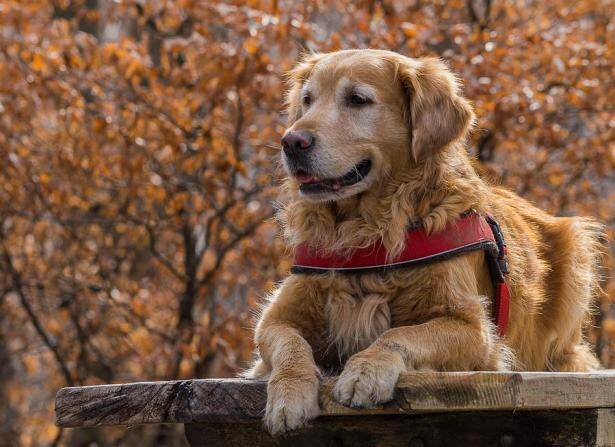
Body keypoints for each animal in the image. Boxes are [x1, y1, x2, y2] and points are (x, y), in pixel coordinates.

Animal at [244, 48, 600, 434]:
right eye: (307, 100)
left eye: (357, 99)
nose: (291, 142)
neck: (367, 232)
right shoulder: (276, 318)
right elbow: (289, 344)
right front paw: (289, 395)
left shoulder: (474, 330)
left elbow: (400, 335)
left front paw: (365, 371)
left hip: (577, 249)